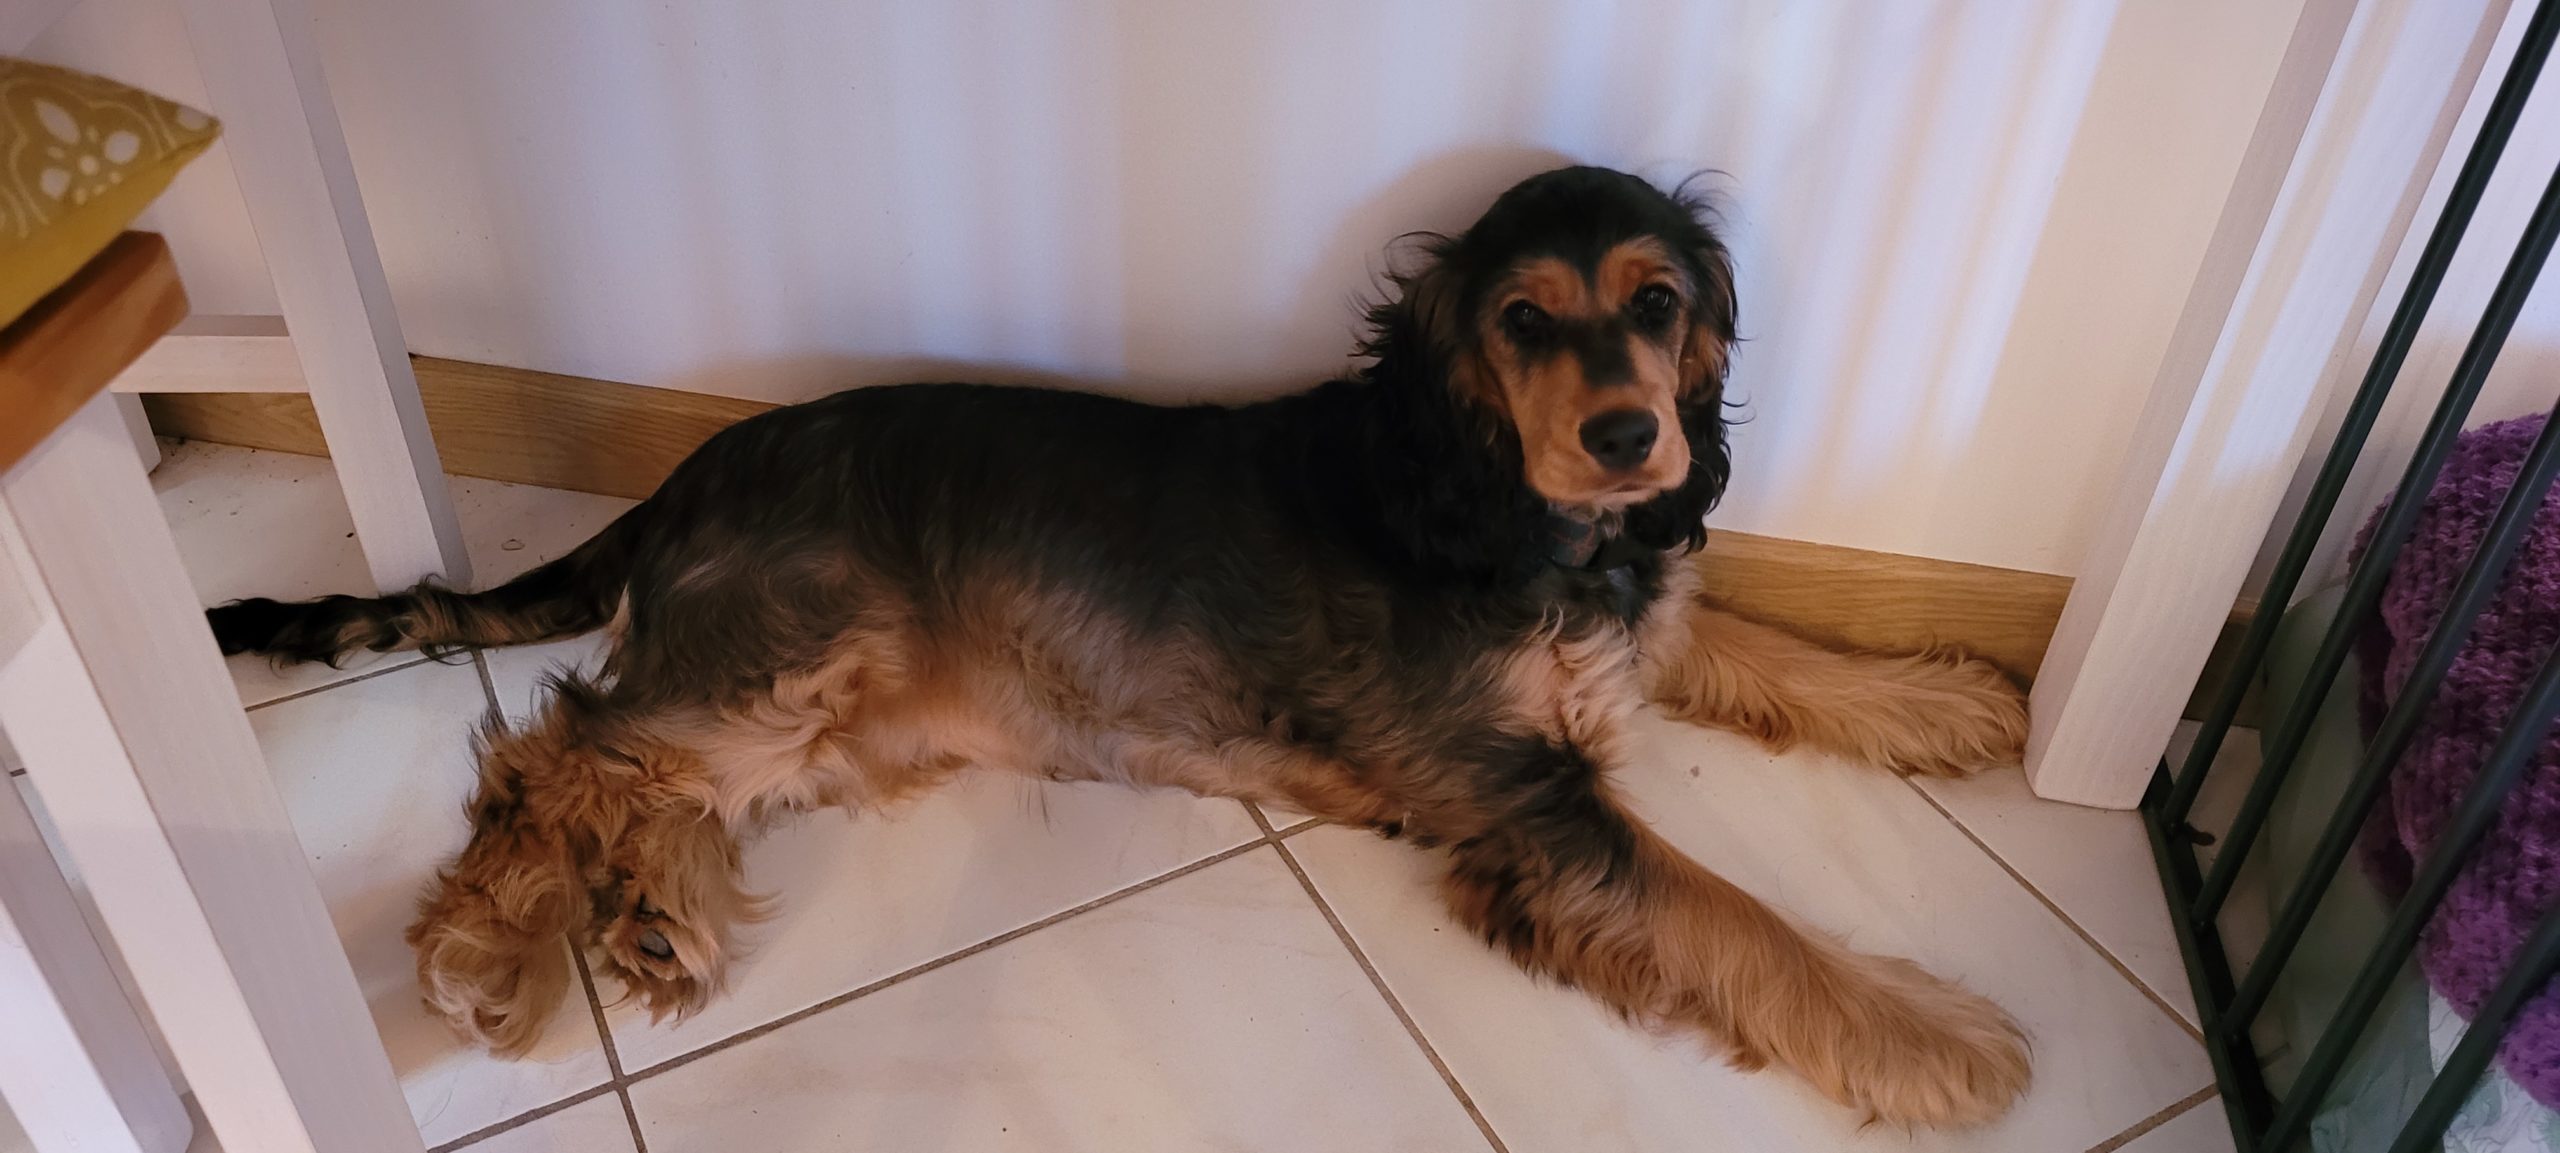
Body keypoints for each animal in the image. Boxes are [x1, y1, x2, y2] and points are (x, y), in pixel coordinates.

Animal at [209, 166, 2027, 1132]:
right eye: (1523, 320)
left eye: (1659, 302)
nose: (1633, 434)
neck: (1504, 503)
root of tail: (694, 471)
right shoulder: (1516, 793)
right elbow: (1731, 911)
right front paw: (1931, 1034)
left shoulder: (1623, 634)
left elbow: (1768, 641)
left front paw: (1940, 697)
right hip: (795, 652)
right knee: (557, 747)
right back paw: (485, 955)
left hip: (828, 708)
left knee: (634, 774)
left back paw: (652, 915)